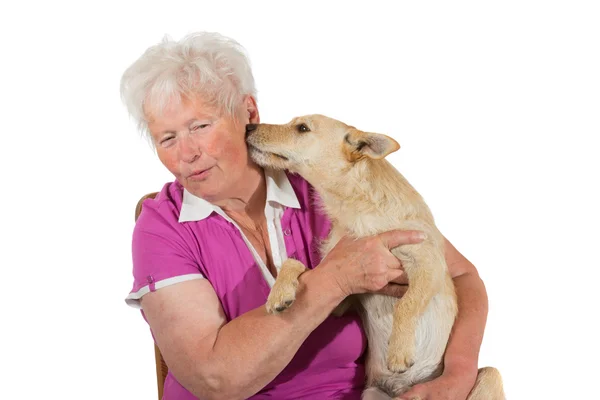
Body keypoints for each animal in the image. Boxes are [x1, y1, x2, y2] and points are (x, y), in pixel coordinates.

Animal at [246, 114, 504, 398]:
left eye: (302, 128)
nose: (248, 127)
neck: (358, 207)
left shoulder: (428, 263)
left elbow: (407, 303)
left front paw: (399, 352)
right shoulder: (339, 294)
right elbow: (295, 263)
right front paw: (279, 293)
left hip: (490, 375)